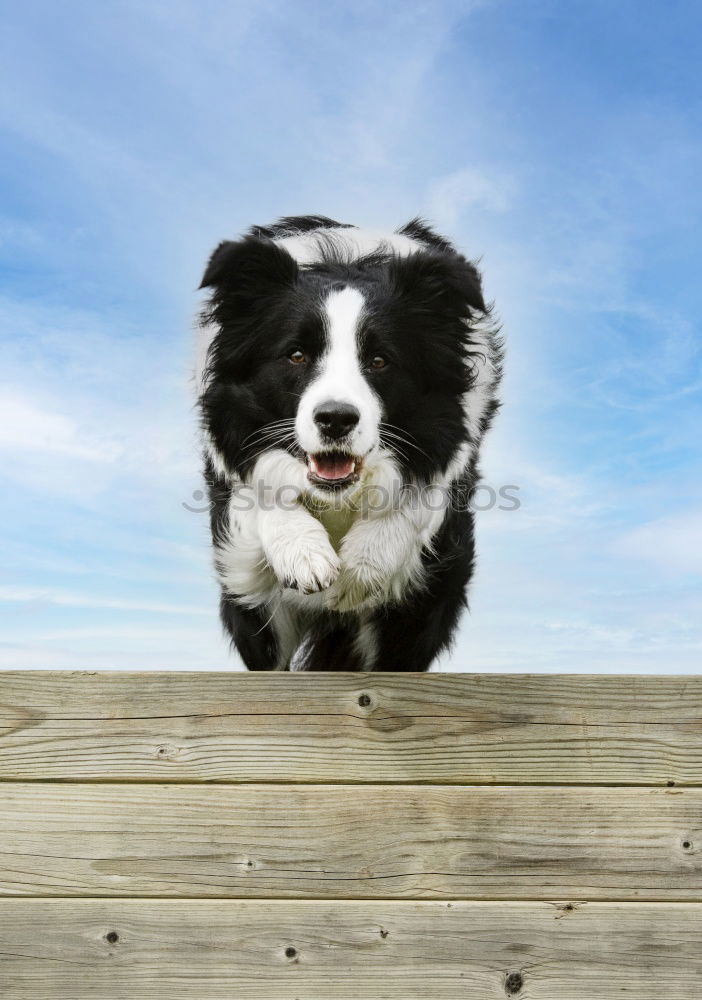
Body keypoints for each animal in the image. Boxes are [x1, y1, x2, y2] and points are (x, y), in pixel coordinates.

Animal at [198, 218, 504, 672]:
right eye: (296, 355)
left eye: (379, 361)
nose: (336, 419)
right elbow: (256, 492)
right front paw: (304, 554)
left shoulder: (451, 449)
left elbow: (417, 499)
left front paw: (361, 567)